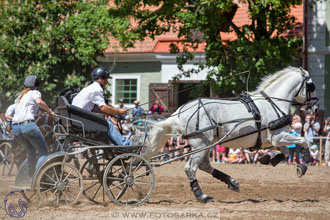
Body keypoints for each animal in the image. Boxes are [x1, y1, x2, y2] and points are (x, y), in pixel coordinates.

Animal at [142, 66, 318, 203]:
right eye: (311, 86)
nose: (315, 108)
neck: (273, 102)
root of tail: (180, 112)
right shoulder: (278, 136)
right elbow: (303, 141)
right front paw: (303, 166)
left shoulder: (272, 140)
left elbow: (286, 151)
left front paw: (268, 159)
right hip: (200, 144)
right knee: (190, 168)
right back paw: (202, 195)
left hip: (206, 144)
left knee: (204, 166)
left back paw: (232, 182)